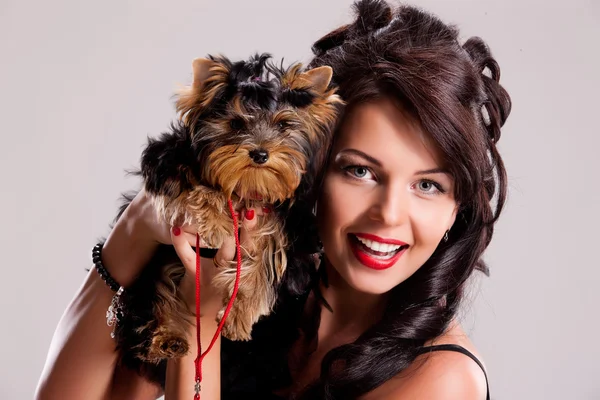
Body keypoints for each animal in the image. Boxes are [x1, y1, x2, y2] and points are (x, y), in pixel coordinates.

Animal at [109, 53, 342, 384]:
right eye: (234, 123)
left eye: (284, 125)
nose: (260, 153)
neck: (247, 186)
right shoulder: (169, 160)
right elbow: (191, 184)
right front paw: (216, 218)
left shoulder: (284, 227)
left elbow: (263, 266)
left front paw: (237, 317)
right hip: (148, 275)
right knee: (153, 299)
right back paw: (164, 339)